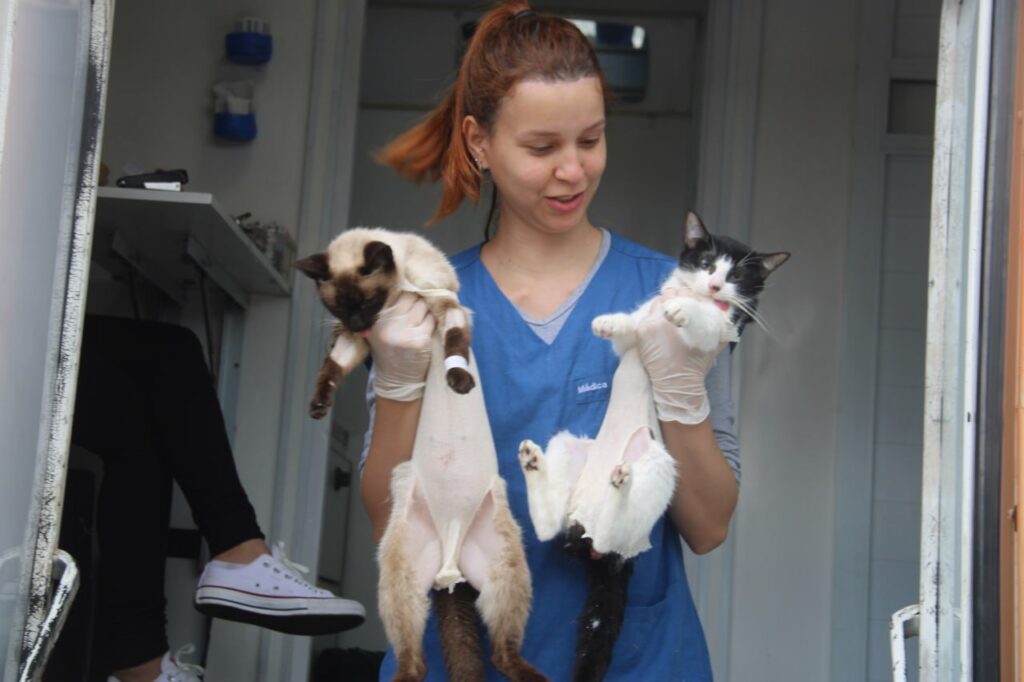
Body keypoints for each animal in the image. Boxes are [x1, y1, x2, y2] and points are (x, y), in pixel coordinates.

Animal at [294, 228, 473, 417]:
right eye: (338, 308)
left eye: (368, 302)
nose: (357, 325)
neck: (399, 291)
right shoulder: (355, 337)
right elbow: (333, 365)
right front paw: (319, 405)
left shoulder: (440, 298)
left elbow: (455, 338)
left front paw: (460, 379)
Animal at [520, 212, 790, 679]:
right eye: (706, 263)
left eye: (736, 276)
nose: (714, 286)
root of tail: (585, 534)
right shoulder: (638, 337)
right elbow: (633, 330)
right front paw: (616, 321)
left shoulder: (720, 336)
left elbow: (705, 323)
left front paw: (685, 310)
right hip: (570, 447)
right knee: (548, 527)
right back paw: (536, 464)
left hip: (660, 465)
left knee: (614, 528)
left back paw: (621, 483)